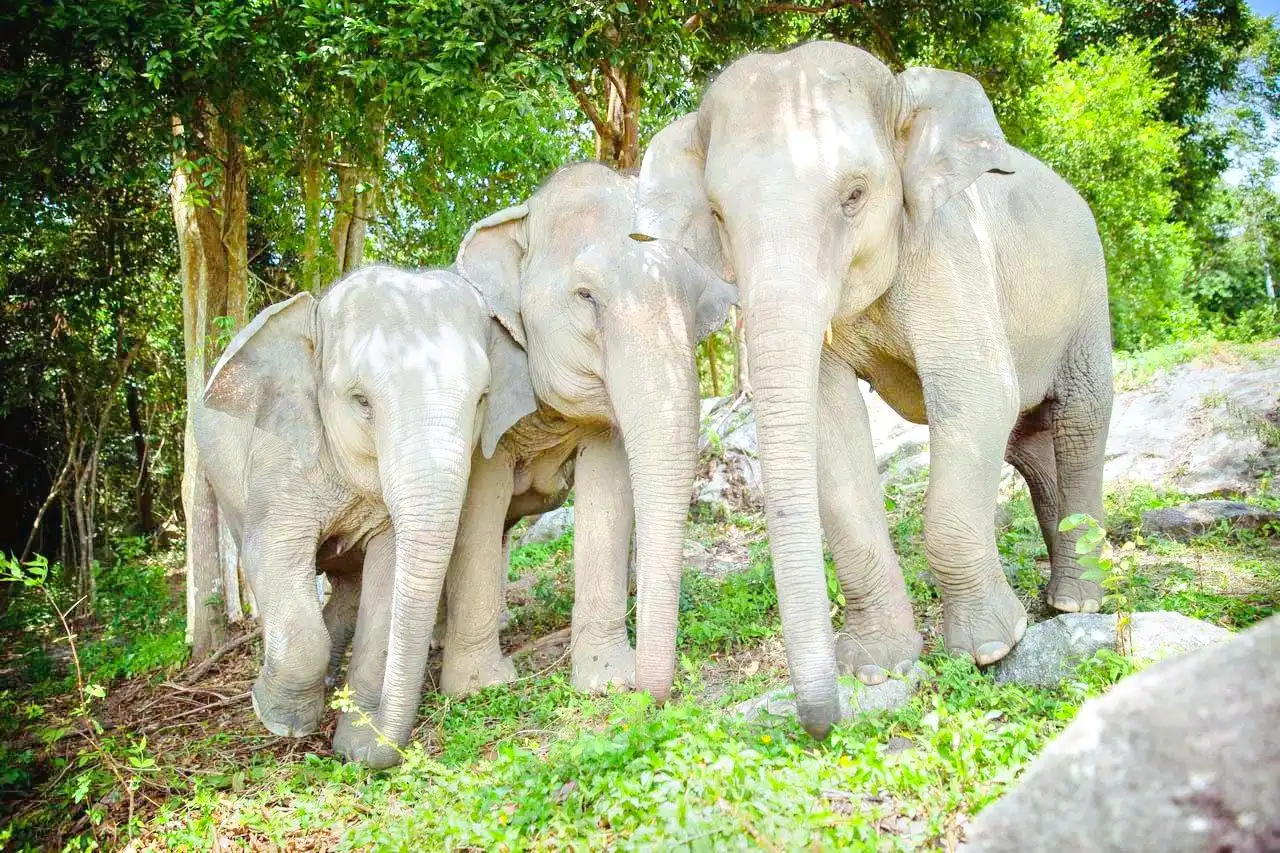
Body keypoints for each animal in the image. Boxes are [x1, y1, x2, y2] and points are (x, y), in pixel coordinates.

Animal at [195, 265, 534, 741]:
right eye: (362, 402)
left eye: (483, 399)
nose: (369, 750)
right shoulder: (280, 459)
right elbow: (272, 557)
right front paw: (281, 722)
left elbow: (386, 574)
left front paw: (356, 729)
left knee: (349, 586)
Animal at [332, 161, 735, 767]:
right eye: (586, 296)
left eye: (693, 302)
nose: (651, 697)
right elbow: (479, 500)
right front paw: (479, 687)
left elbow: (608, 491)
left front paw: (607, 680)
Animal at [634, 41, 1113, 738]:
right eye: (718, 215)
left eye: (855, 195)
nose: (820, 725)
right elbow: (831, 427)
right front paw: (878, 670)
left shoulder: (947, 245)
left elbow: (975, 394)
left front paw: (992, 648)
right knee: (1028, 442)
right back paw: (1055, 600)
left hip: (1087, 296)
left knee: (1078, 418)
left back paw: (1077, 604)